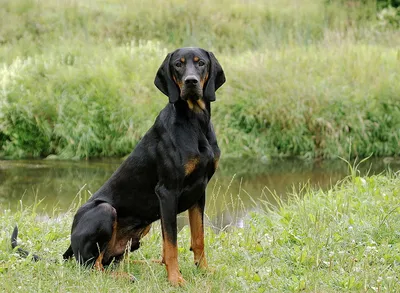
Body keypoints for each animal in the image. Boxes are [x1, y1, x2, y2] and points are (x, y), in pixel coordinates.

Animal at [10, 48, 225, 286]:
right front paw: (175, 279)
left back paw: (147, 265)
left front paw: (204, 270)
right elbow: (171, 245)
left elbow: (199, 238)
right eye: (178, 64)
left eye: (201, 63)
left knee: (110, 260)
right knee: (91, 265)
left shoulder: (199, 190)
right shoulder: (167, 192)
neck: (195, 123)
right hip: (105, 211)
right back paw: (125, 275)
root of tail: (69, 248)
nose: (191, 81)